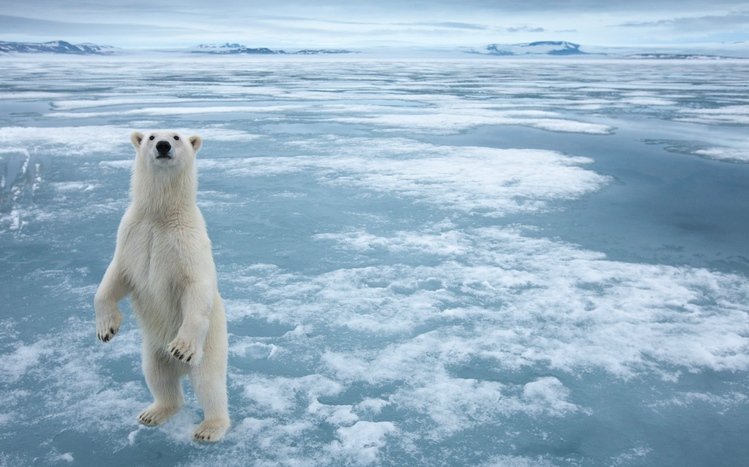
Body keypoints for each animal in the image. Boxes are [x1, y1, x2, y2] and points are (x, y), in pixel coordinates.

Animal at [94, 130, 230, 442]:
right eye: (151, 135)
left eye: (177, 136)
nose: (163, 146)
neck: (160, 215)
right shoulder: (132, 235)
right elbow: (115, 277)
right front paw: (106, 329)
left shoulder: (187, 242)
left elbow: (196, 286)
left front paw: (181, 347)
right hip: (152, 349)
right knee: (158, 376)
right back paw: (153, 412)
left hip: (211, 344)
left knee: (209, 383)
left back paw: (209, 428)